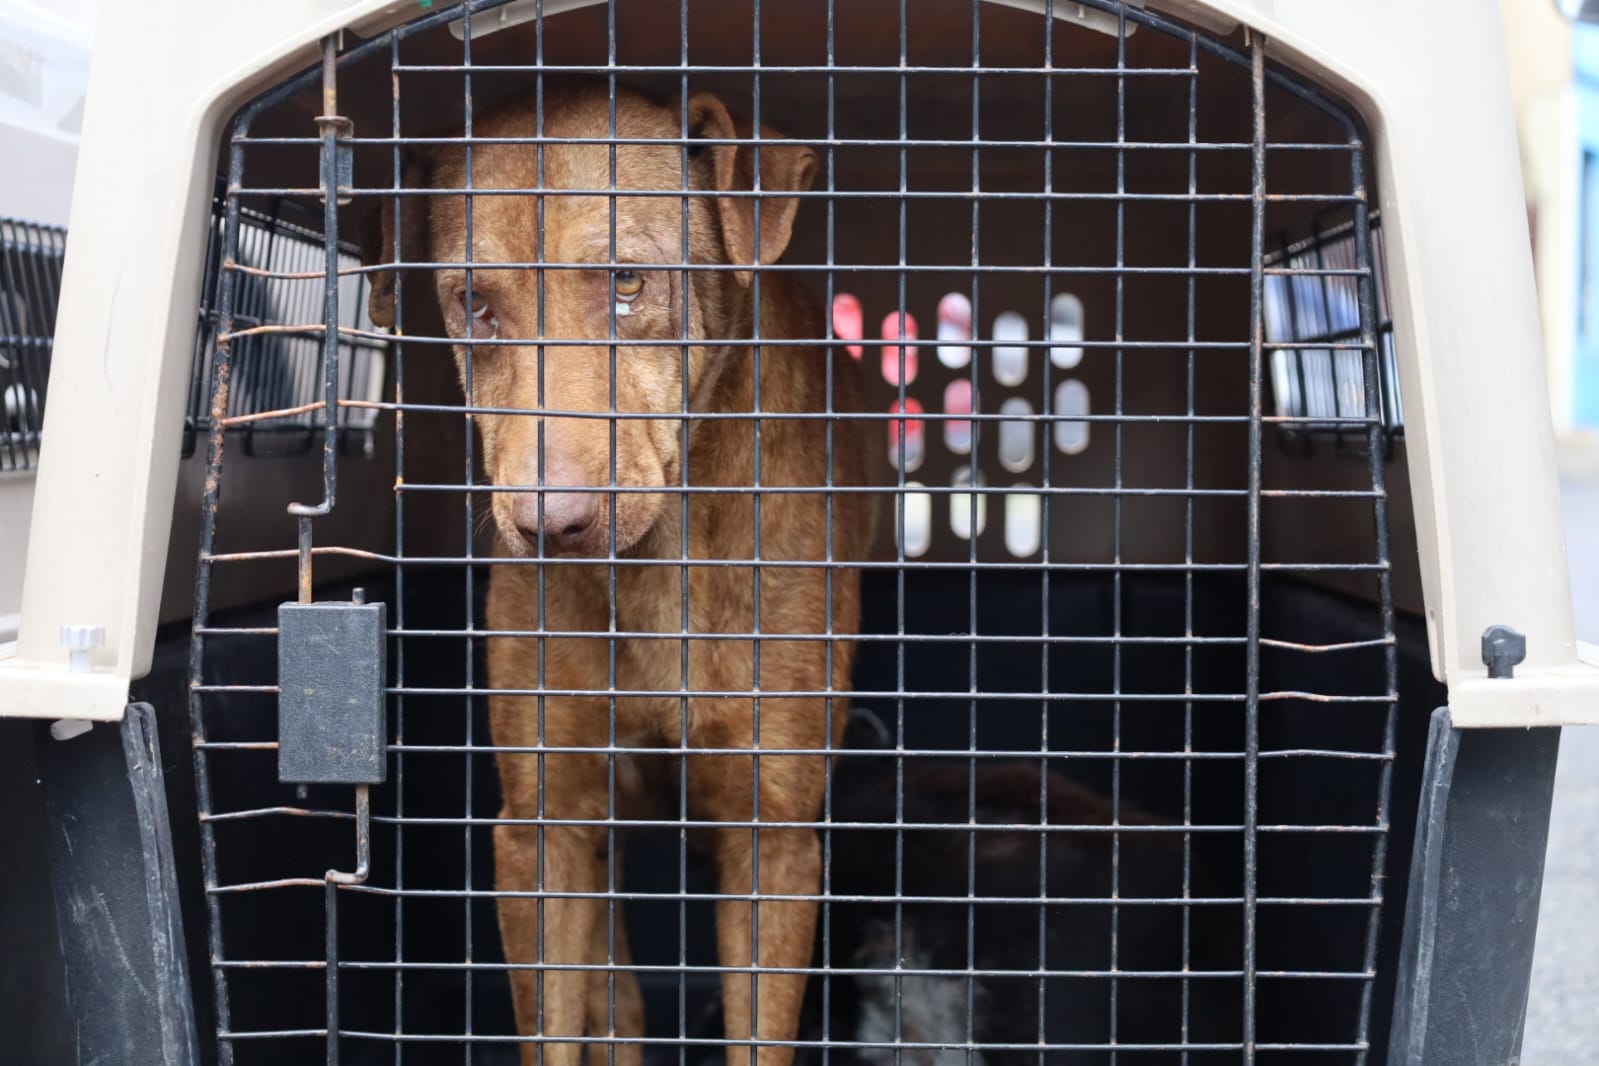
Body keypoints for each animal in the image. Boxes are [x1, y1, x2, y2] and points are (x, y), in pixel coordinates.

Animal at [364, 81, 876, 1066]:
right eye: (474, 303)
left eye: (628, 283)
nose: (551, 524)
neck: (655, 572)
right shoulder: (544, 830)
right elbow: (556, 1026)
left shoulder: (773, 838)